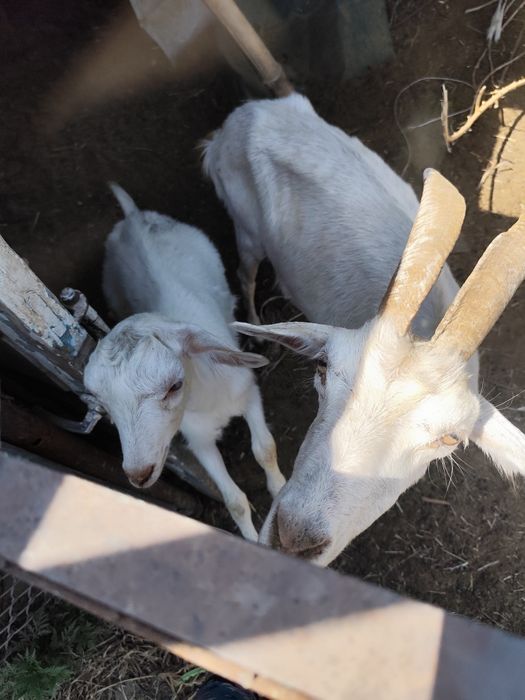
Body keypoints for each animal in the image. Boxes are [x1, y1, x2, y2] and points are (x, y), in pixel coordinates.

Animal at [83, 184, 285, 540]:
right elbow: (234, 501)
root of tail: (134, 218)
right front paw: (252, 540)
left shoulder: (249, 393)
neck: (208, 397)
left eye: (174, 386)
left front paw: (278, 487)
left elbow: (265, 448)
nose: (138, 473)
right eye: (104, 406)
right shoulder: (198, 440)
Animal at [203, 92, 525, 565]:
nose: (293, 539)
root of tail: (242, 117)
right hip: (245, 230)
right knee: (244, 272)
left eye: (450, 437)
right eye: (322, 368)